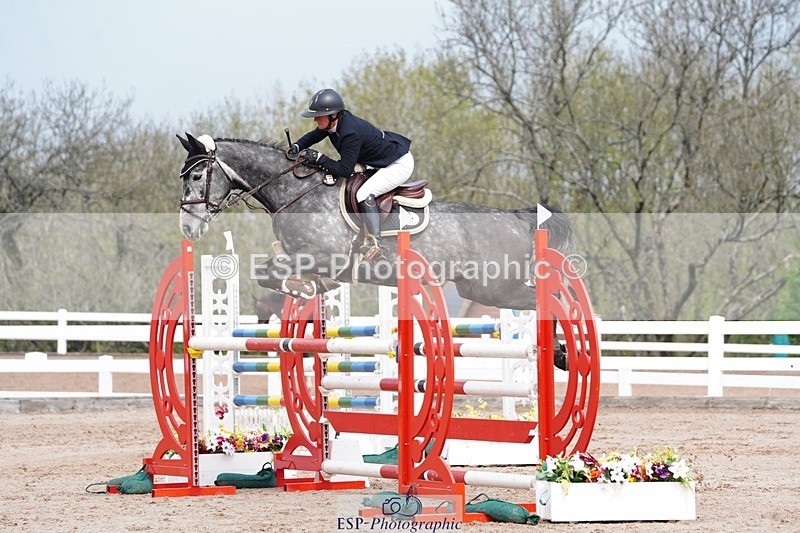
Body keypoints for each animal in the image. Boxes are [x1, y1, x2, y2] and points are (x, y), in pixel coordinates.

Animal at [177, 133, 576, 311]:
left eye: (196, 177)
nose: (188, 228)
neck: (298, 192)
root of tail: (515, 217)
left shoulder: (327, 258)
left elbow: (272, 272)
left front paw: (304, 289)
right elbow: (266, 273)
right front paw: (310, 289)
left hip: (495, 288)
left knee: (548, 298)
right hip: (476, 290)